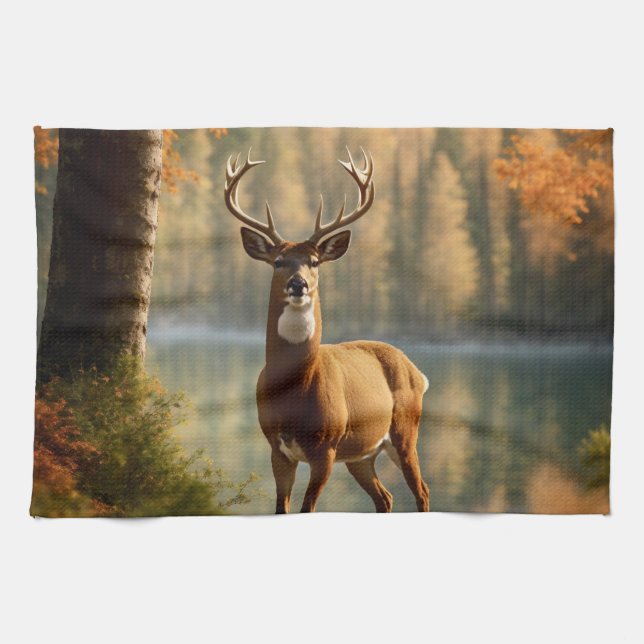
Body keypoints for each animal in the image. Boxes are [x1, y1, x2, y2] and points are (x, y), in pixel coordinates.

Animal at [224, 148, 430, 513]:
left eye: (315, 261)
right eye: (278, 262)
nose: (298, 284)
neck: (296, 389)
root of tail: (416, 370)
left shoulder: (326, 449)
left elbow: (306, 509)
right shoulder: (277, 449)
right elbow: (281, 509)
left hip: (405, 430)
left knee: (421, 491)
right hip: (361, 453)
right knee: (386, 497)